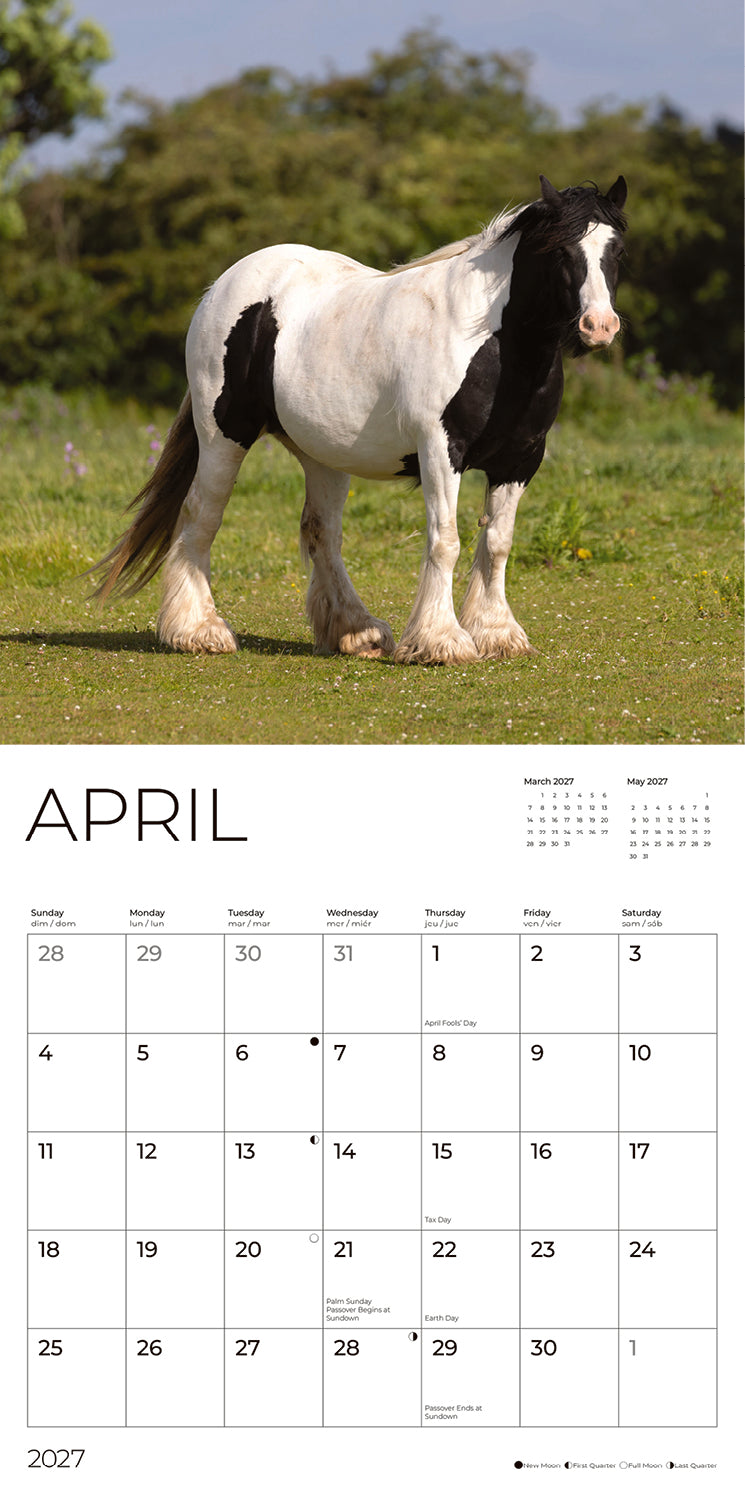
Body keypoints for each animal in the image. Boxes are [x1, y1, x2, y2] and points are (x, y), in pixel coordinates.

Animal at [93, 174, 627, 664]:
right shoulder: (441, 450)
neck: (493, 342)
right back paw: (197, 631)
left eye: (617, 251)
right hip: (224, 436)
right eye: (561, 252)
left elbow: (497, 542)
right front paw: (441, 641)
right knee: (201, 517)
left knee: (321, 532)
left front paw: (497, 633)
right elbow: (445, 541)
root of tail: (223, 286)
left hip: (322, 455)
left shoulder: (519, 460)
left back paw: (356, 631)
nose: (599, 326)